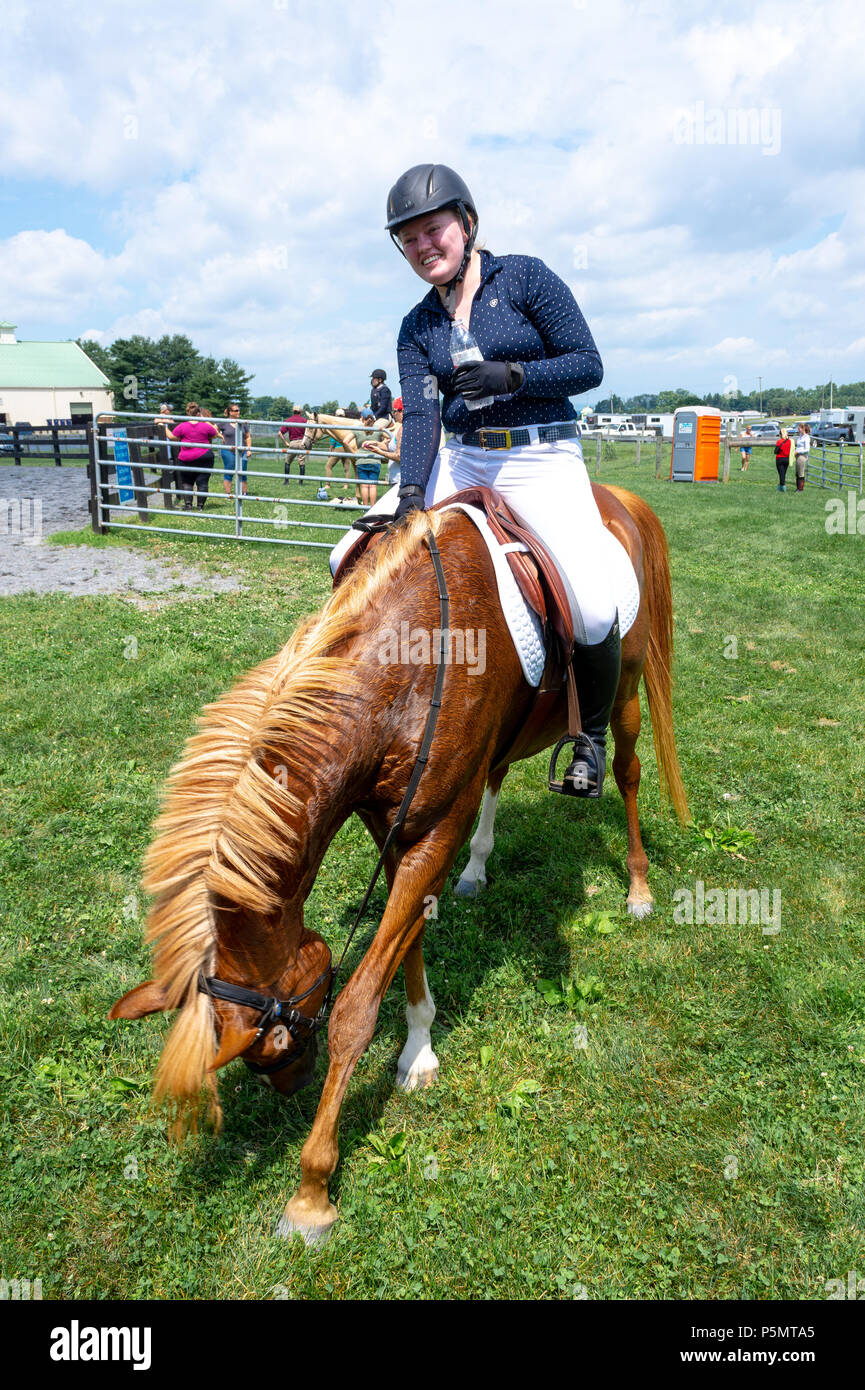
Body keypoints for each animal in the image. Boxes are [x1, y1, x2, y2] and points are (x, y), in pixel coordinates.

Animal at [109, 483, 692, 1245]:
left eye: (275, 1041)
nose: (292, 1085)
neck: (410, 659)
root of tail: (617, 497)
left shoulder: (431, 830)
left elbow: (359, 1003)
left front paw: (311, 1190)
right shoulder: (395, 825)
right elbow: (407, 938)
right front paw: (418, 1047)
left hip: (623, 688)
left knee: (625, 772)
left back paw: (638, 885)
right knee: (498, 775)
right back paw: (478, 871)